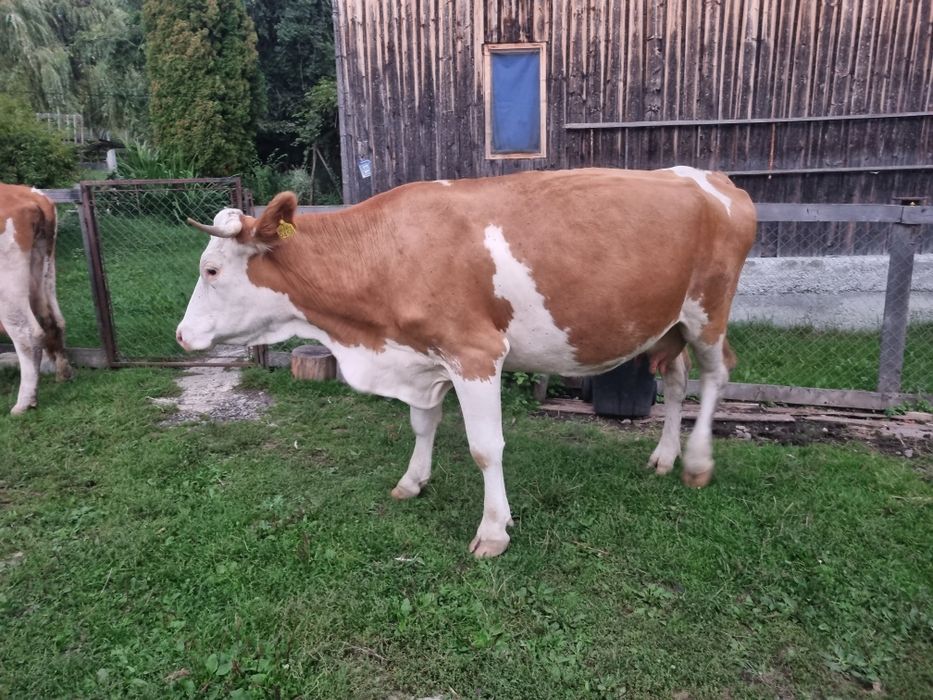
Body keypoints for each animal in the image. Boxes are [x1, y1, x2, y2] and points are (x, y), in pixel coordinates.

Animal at [0, 184, 72, 414]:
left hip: (7, 284)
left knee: (27, 333)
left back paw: (24, 402)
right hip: (45, 271)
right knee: (54, 320)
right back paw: (63, 374)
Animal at [176, 167, 757, 557]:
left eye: (211, 270)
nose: (181, 336)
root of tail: (714, 178)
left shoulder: (476, 354)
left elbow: (484, 448)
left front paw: (494, 531)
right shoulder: (422, 356)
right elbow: (422, 423)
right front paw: (413, 480)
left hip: (709, 312)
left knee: (716, 374)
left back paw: (697, 463)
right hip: (670, 322)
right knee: (677, 380)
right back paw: (663, 457)